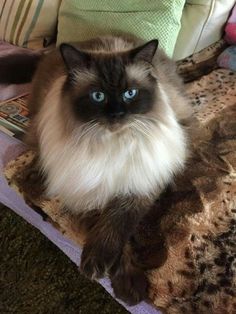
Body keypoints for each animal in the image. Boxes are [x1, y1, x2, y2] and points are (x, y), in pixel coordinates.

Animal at [24, 36, 193, 304]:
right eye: (98, 96)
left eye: (130, 93)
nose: (117, 114)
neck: (112, 143)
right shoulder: (87, 190)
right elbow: (109, 232)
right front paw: (123, 281)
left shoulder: (138, 185)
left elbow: (117, 224)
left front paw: (127, 283)